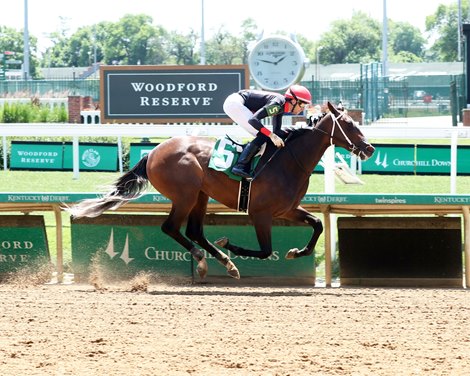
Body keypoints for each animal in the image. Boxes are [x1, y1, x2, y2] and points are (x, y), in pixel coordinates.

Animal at [66, 101, 374, 280]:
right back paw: (205, 260)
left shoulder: (287, 209)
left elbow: (318, 224)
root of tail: (152, 152)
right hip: (185, 195)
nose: (370, 148)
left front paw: (295, 252)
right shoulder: (260, 213)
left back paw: (223, 263)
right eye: (348, 124)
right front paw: (231, 244)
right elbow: (265, 250)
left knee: (194, 231)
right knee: (171, 228)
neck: (288, 160)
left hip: (200, 195)